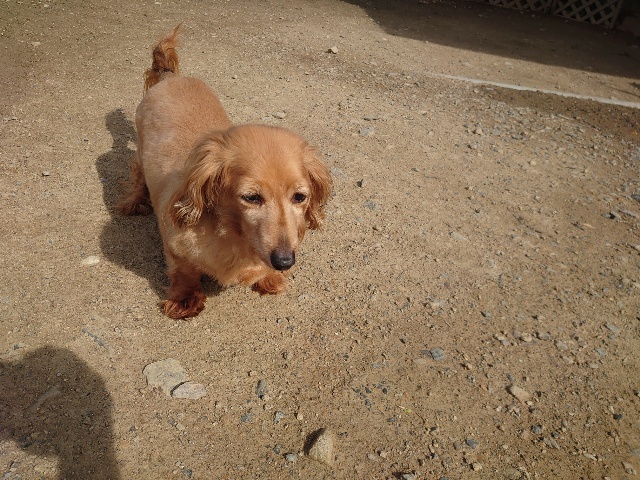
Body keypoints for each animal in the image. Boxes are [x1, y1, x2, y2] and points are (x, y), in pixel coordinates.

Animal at [118, 25, 332, 319]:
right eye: (251, 197)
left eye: (300, 197)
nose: (284, 261)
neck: (234, 235)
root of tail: (170, 77)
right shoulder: (175, 245)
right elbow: (185, 272)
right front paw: (185, 299)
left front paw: (269, 278)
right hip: (141, 149)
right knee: (138, 172)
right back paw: (135, 201)